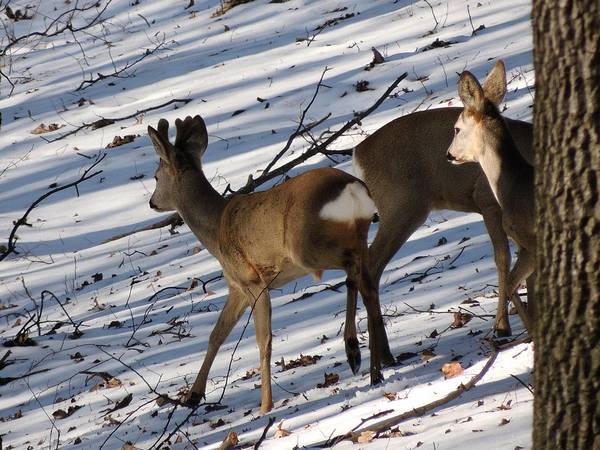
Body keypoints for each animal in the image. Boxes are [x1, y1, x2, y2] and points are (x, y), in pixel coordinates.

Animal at [147, 114, 394, 414]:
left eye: (156, 176)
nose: (152, 202)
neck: (216, 230)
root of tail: (352, 189)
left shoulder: (254, 281)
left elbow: (263, 340)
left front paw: (265, 405)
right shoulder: (237, 286)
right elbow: (216, 335)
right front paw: (193, 396)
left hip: (307, 249)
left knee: (354, 274)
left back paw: (355, 352)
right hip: (357, 233)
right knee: (367, 280)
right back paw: (376, 367)